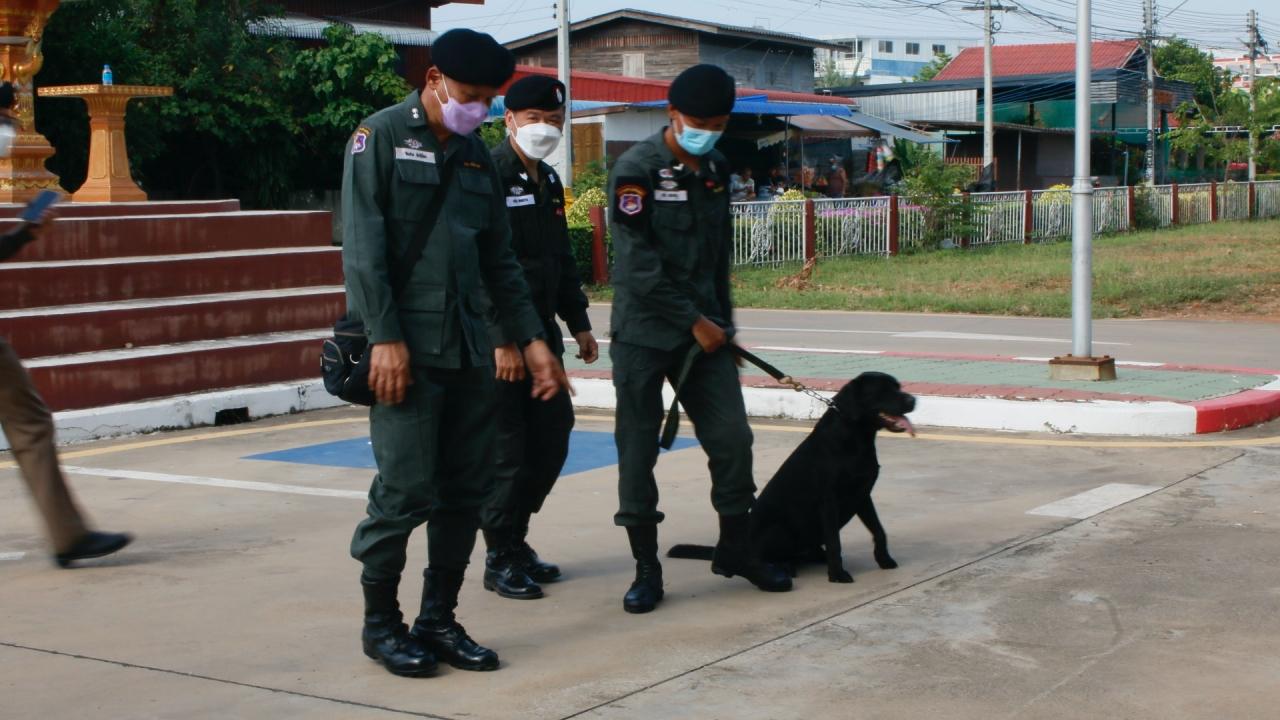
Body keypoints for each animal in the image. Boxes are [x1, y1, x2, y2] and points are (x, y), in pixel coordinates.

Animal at [665, 371, 916, 579]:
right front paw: (837, 575)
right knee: (771, 557)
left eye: (898, 386)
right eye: (882, 391)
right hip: (779, 529)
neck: (855, 439)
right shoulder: (829, 501)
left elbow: (879, 531)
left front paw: (884, 560)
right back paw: (784, 568)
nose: (913, 400)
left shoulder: (862, 495)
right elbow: (835, 541)